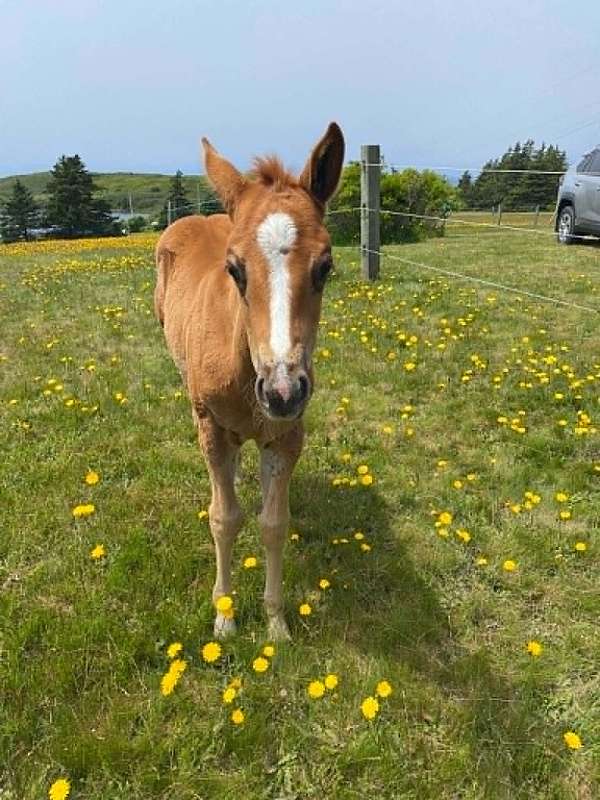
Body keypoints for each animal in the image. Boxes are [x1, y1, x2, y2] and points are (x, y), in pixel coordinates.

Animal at [154, 123, 345, 640]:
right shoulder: (213, 426)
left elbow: (273, 523)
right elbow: (224, 518)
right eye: (234, 269)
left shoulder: (286, 434)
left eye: (325, 267)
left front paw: (276, 621)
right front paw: (224, 615)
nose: (282, 390)